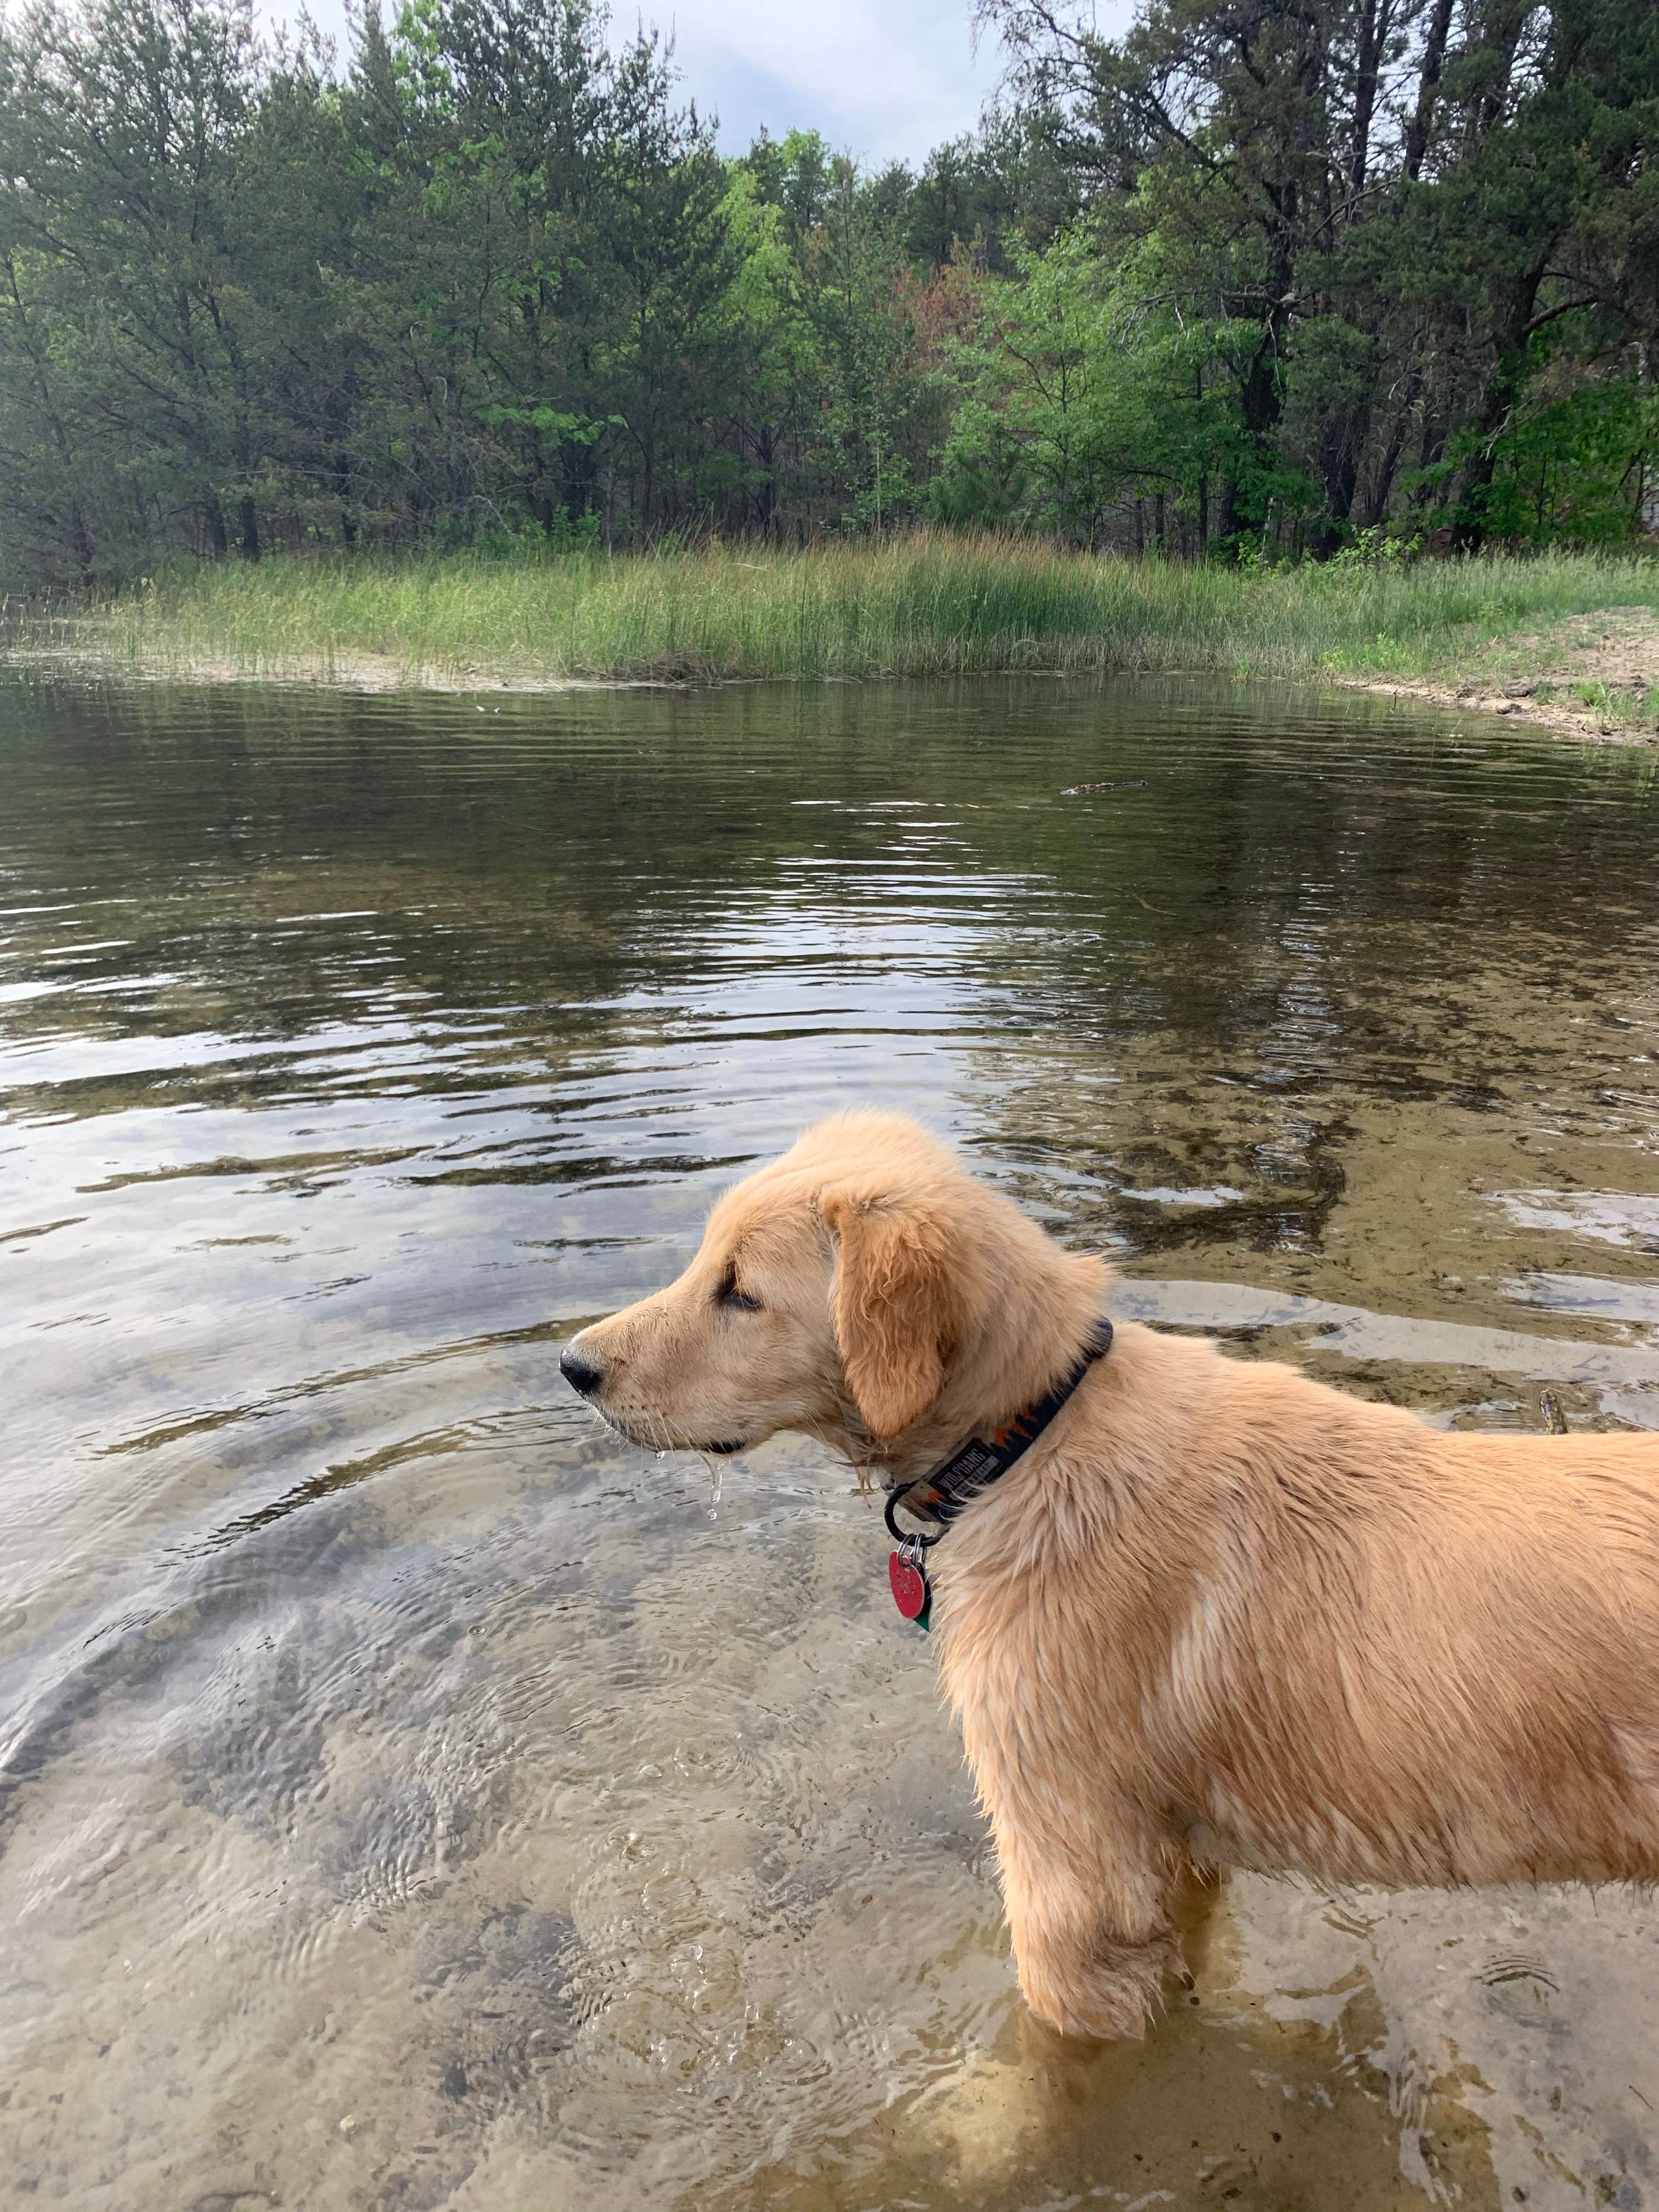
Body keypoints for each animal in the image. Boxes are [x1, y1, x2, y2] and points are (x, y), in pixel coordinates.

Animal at [562, 1106, 1659, 2035]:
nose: (574, 1366)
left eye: (741, 1292)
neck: (1030, 1437)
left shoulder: (1073, 1880)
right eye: (707, 1262)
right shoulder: (1174, 1859)